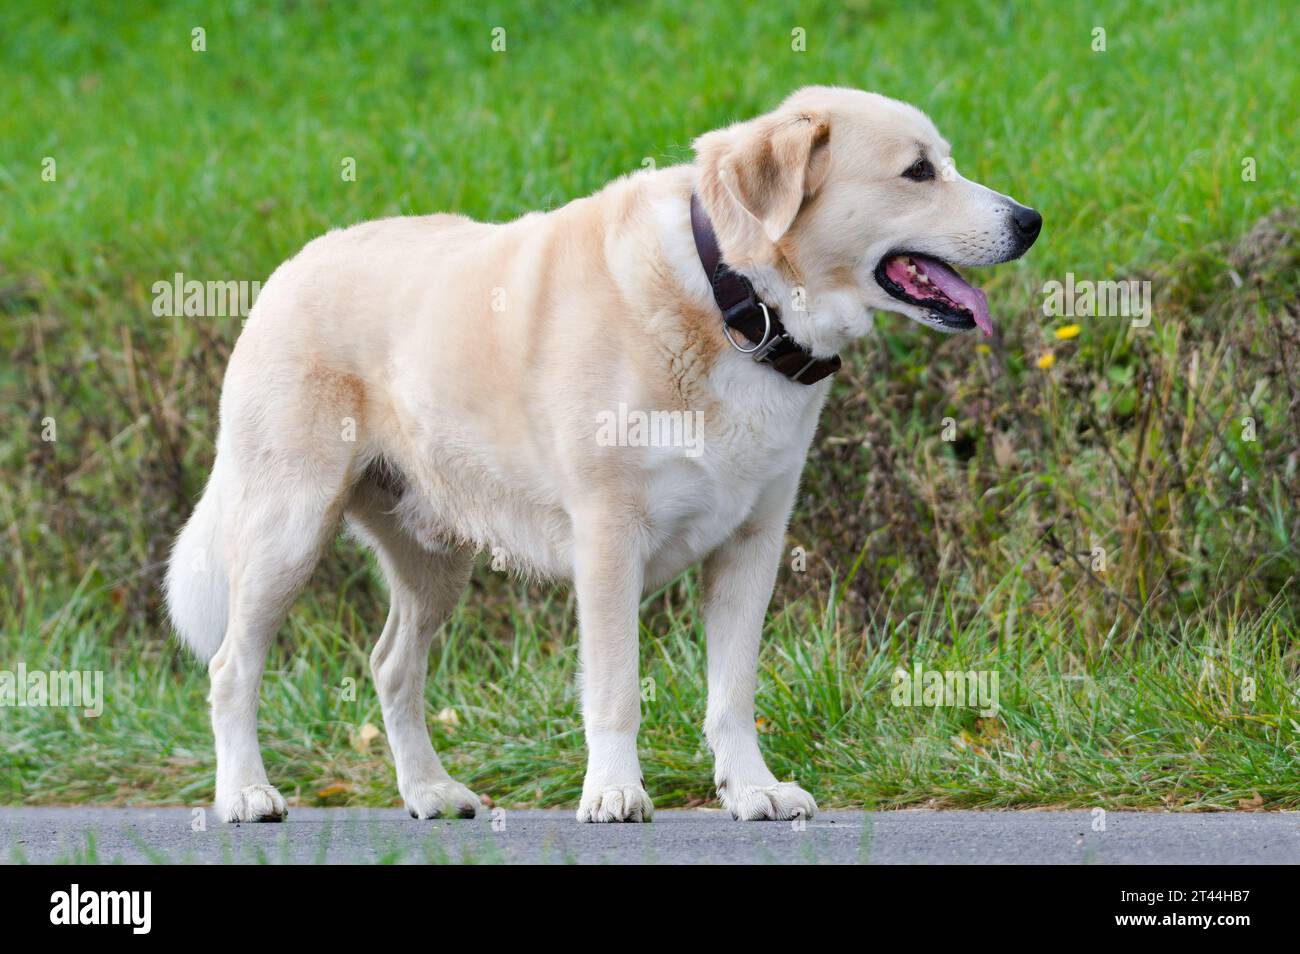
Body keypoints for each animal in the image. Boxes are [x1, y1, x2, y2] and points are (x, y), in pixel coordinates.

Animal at [165, 85, 1034, 826]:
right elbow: (615, 689)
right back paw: (245, 795)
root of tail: (288, 268)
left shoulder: (752, 546)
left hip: (433, 557)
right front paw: (615, 794)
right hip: (288, 529)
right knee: (232, 668)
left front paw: (751, 791)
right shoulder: (610, 540)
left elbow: (733, 693)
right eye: (917, 171)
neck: (735, 300)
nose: (1031, 220)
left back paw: (431, 792)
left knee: (391, 666)